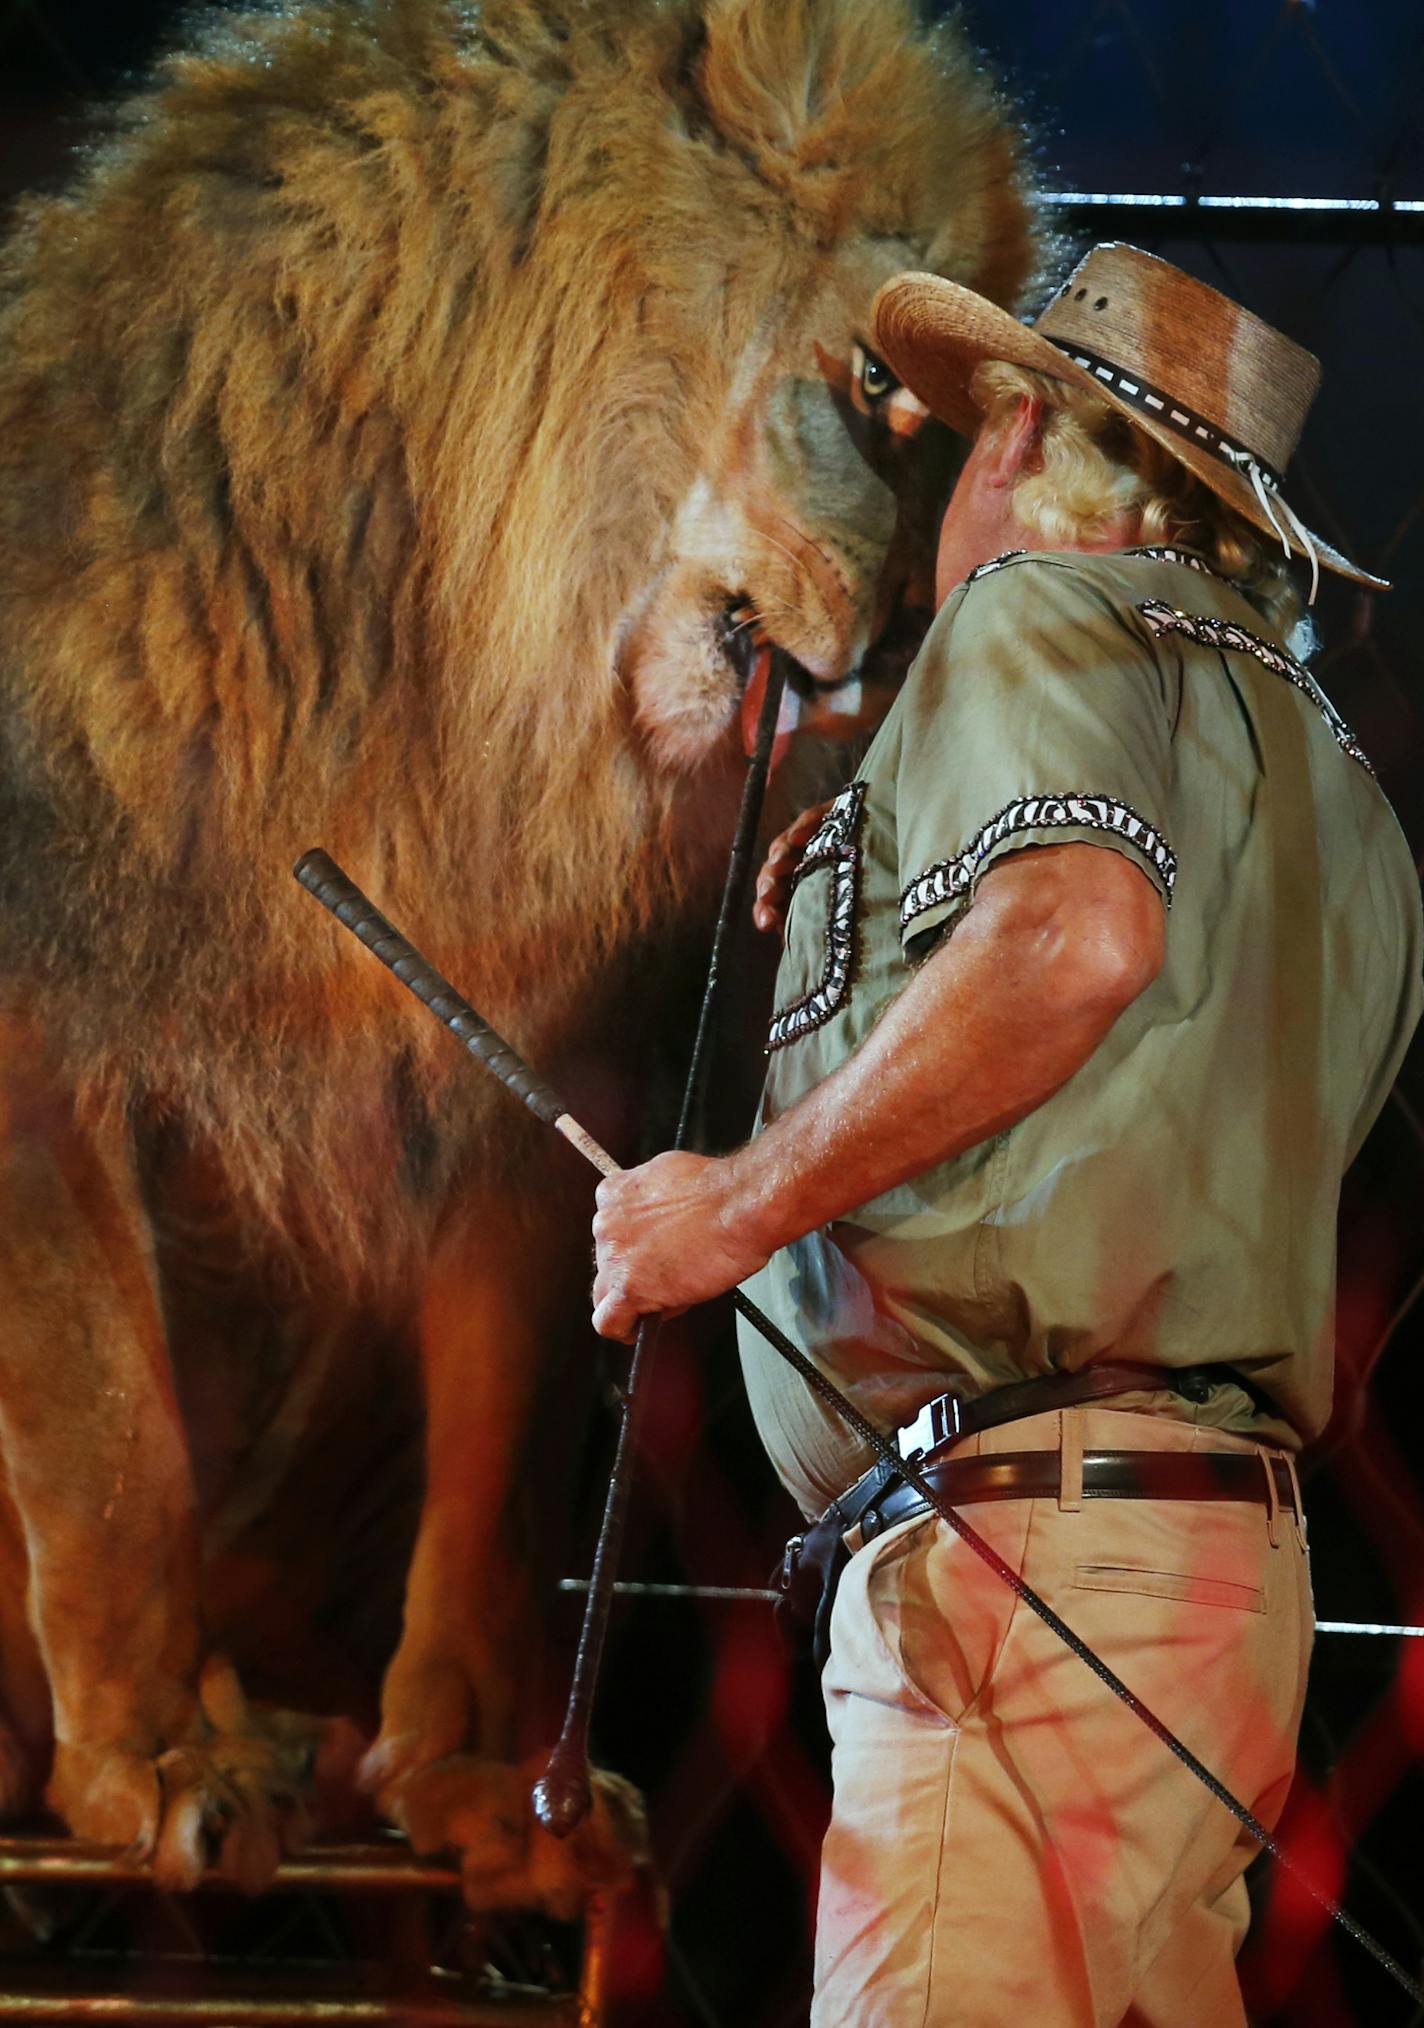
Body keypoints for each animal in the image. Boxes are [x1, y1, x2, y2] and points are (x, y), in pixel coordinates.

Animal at [0, 0, 1038, 1898]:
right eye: (877, 386)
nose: (910, 635)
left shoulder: (544, 1058)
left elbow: (502, 1437)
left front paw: (485, 1772)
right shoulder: (44, 1024)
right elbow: (109, 1440)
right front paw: (163, 1755)